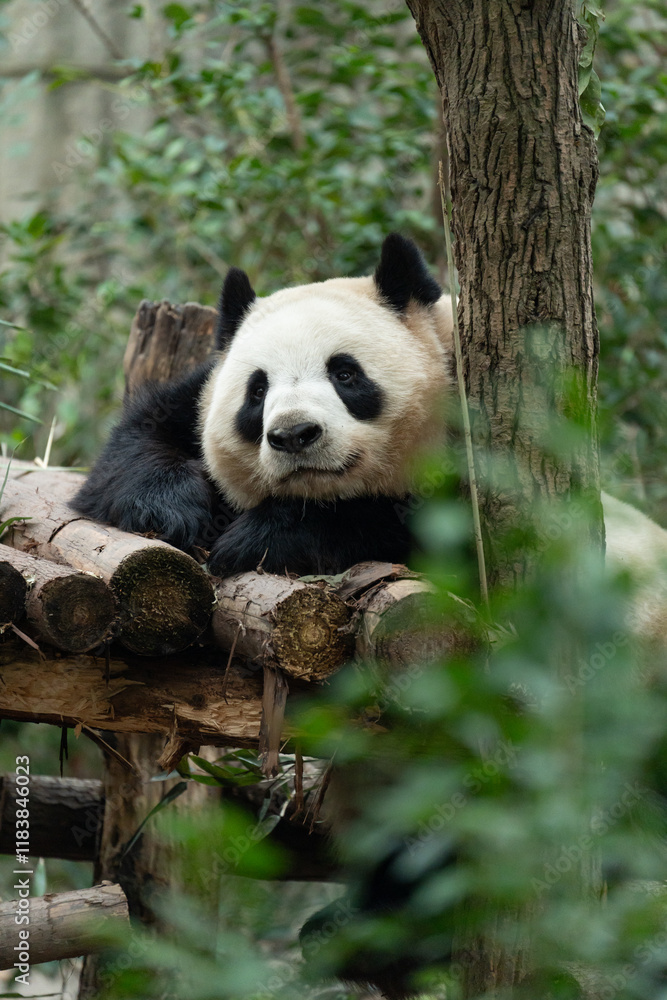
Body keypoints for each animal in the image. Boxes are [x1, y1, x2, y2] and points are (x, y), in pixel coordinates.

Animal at [72, 233, 454, 577]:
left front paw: (253, 541)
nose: (294, 435)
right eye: (257, 391)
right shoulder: (195, 397)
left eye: (345, 373)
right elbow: (131, 449)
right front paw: (172, 511)